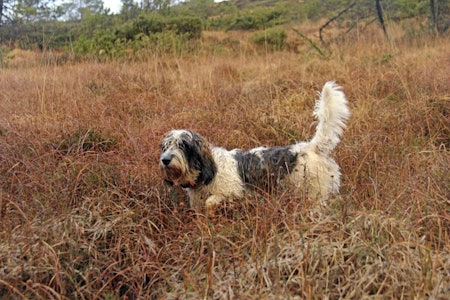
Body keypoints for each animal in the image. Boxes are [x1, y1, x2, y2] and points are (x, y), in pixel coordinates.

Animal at [160, 81, 350, 214]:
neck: (207, 171)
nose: (165, 160)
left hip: (315, 195)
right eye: (165, 146)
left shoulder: (232, 191)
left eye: (183, 145)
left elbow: (211, 201)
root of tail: (311, 147)